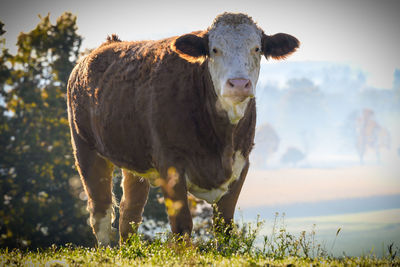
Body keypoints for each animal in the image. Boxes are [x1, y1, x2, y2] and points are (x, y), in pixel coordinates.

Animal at [67, 12, 298, 247]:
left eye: (257, 48)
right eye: (214, 49)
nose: (239, 83)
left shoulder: (241, 164)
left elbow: (224, 227)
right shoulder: (171, 164)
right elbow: (182, 227)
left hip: (134, 160)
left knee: (129, 212)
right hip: (85, 149)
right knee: (101, 213)